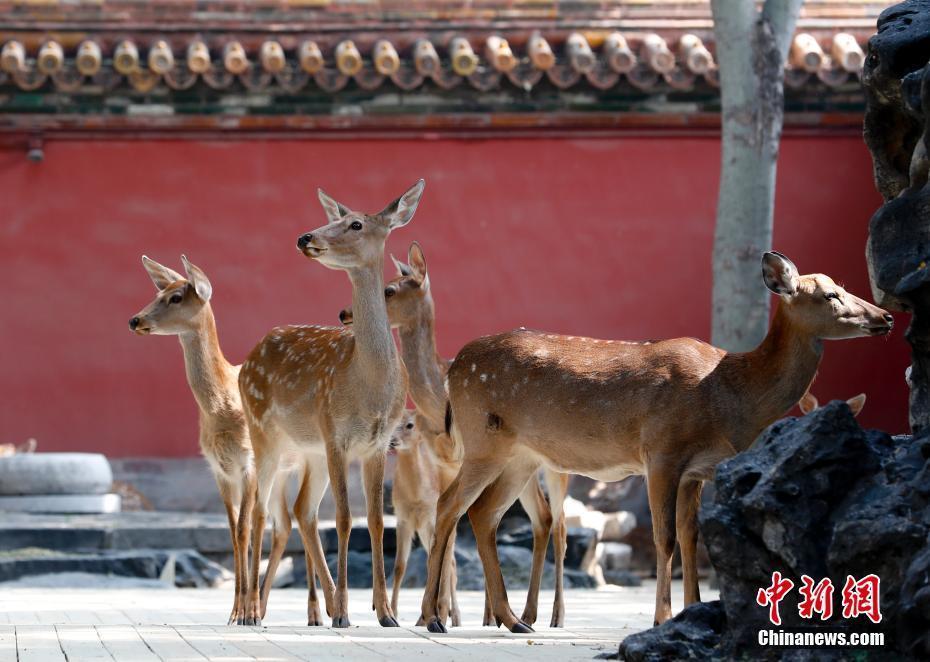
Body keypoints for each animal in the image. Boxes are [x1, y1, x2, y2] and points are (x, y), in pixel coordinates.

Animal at [129, 255, 332, 628]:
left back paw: (312, 613)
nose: (135, 320)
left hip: (304, 458)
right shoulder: (219, 470)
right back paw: (267, 605)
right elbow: (232, 532)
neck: (221, 407)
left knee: (304, 518)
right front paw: (237, 611)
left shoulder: (249, 462)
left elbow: (244, 528)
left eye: (175, 297)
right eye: (158, 291)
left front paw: (243, 611)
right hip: (279, 470)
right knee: (285, 523)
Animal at [241, 180, 426, 628]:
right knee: (260, 511)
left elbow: (374, 521)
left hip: (308, 450)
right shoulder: (336, 434)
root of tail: (247, 359)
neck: (368, 384)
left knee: (303, 511)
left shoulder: (377, 444)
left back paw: (318, 605)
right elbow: (343, 519)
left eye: (355, 223)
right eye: (334, 218)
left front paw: (385, 612)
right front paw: (347, 610)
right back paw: (252, 612)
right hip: (264, 433)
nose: (305, 237)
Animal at [338, 243, 568, 628]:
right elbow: (452, 525)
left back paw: (555, 616)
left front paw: (440, 613)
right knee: (542, 519)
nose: (344, 312)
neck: (438, 400)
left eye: (390, 289)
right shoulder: (445, 463)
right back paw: (524, 613)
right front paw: (437, 613)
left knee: (560, 526)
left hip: (555, 468)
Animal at [418, 252, 892, 636]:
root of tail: (454, 368)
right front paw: (663, 618)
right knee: (449, 505)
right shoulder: (662, 451)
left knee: (483, 514)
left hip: (520, 455)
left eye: (844, 287)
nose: (885, 316)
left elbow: (690, 537)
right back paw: (435, 618)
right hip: (484, 439)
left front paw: (694, 611)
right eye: (830, 295)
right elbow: (664, 538)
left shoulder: (697, 469)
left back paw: (512, 619)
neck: (728, 394)